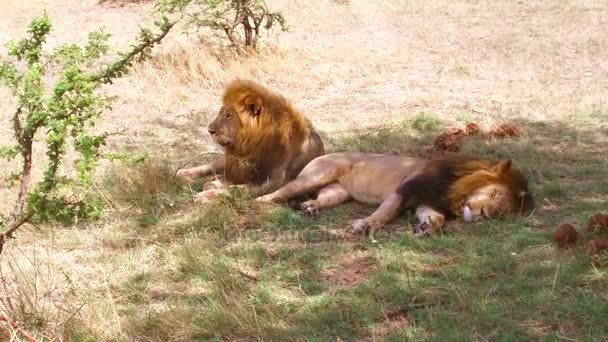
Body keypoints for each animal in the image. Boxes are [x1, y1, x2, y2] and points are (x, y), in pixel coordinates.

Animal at [177, 79, 324, 200]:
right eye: (221, 113)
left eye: (229, 116)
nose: (209, 130)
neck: (253, 144)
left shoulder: (276, 182)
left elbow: (239, 189)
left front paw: (207, 194)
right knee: (213, 164)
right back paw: (184, 172)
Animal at [254, 152, 536, 235]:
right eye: (495, 194)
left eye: (500, 214)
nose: (484, 213)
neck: (453, 191)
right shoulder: (405, 190)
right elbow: (386, 212)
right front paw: (366, 225)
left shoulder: (426, 203)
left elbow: (436, 218)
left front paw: (427, 227)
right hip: (318, 174)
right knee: (278, 193)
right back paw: (258, 203)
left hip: (337, 192)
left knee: (318, 199)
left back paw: (311, 208)